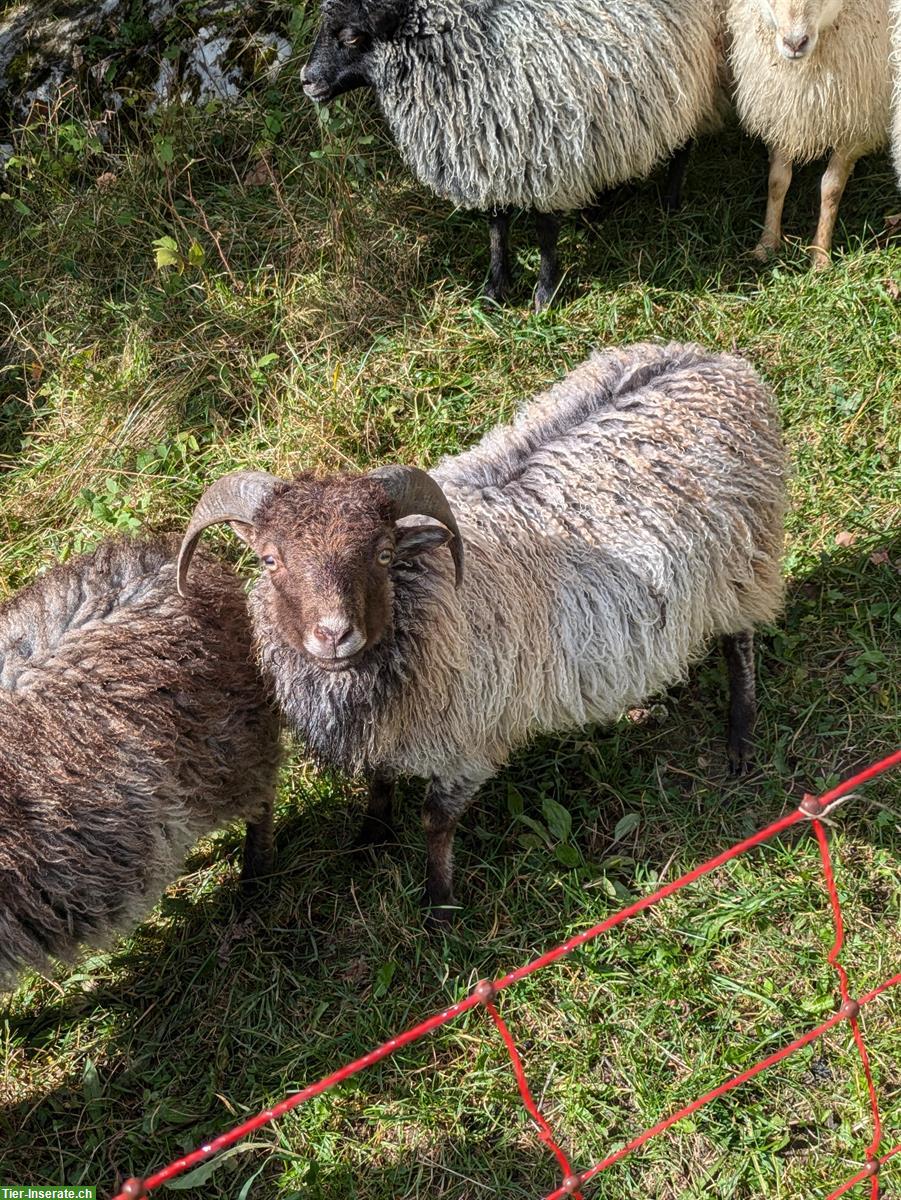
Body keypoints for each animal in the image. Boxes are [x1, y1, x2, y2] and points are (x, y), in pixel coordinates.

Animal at [179, 343, 787, 921]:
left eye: (383, 554)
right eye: (268, 560)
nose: (333, 635)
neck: (425, 594)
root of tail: (714, 361)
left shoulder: (469, 736)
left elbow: (436, 821)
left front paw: (439, 905)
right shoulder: (394, 728)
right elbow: (380, 780)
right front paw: (370, 839)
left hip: (743, 563)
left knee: (741, 643)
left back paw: (740, 738)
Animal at [299, 0, 724, 307]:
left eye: (351, 36)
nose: (307, 81)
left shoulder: (547, 158)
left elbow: (546, 233)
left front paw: (545, 295)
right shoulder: (489, 154)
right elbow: (496, 226)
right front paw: (495, 289)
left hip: (685, 84)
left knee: (684, 143)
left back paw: (670, 202)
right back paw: (601, 204)